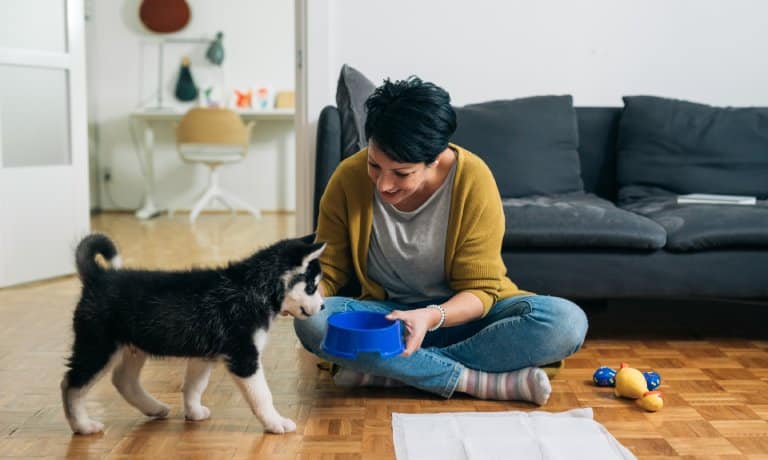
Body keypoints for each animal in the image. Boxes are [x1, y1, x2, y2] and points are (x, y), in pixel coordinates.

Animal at [60, 234, 324, 434]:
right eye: (312, 287)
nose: (322, 307)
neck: (253, 287)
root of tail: (98, 276)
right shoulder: (244, 357)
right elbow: (262, 396)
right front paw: (275, 422)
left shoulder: (204, 354)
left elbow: (194, 386)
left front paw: (193, 412)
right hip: (98, 348)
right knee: (70, 385)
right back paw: (82, 425)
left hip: (135, 346)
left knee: (123, 380)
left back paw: (154, 408)